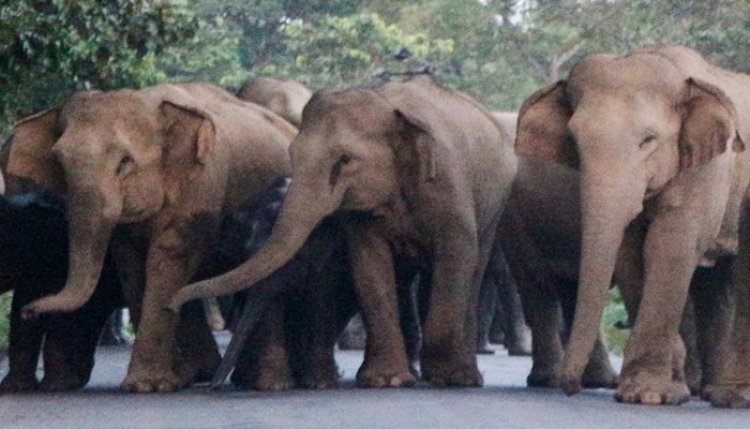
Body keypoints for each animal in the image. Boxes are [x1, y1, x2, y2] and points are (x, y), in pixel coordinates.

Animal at [4, 82, 296, 392]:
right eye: (58, 162)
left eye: (124, 162)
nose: (29, 311)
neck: (149, 100)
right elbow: (132, 268)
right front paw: (158, 383)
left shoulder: (202, 185)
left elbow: (168, 260)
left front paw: (147, 386)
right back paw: (197, 374)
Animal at [169, 75, 524, 386]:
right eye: (292, 153)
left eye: (345, 161)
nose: (172, 302)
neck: (387, 106)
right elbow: (369, 264)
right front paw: (386, 380)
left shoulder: (449, 184)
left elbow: (456, 256)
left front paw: (443, 377)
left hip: (496, 202)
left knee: (473, 269)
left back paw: (463, 376)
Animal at [516, 46, 750, 404]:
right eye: (574, 141)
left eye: (648, 140)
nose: (572, 387)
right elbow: (628, 253)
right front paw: (656, 387)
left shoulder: (708, 169)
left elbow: (669, 246)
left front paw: (649, 395)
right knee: (713, 284)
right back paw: (707, 390)